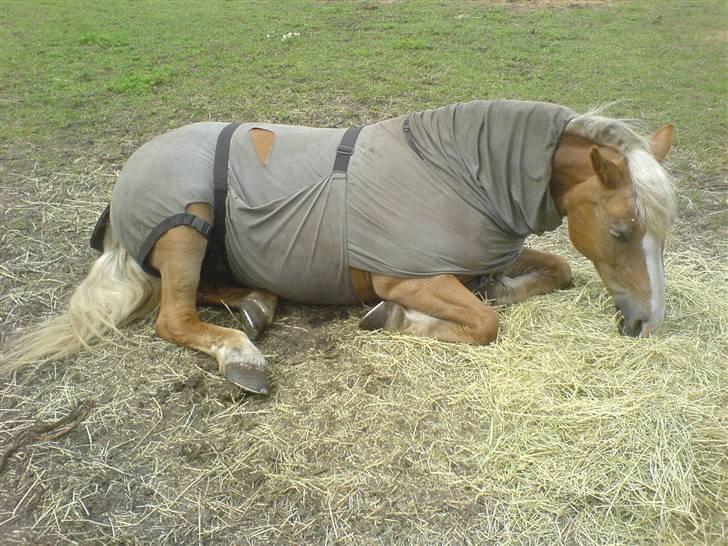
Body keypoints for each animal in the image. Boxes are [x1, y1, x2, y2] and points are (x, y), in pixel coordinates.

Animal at [2, 100, 676, 394]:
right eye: (621, 230)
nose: (647, 323)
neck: (463, 174)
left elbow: (558, 268)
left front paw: (501, 285)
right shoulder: (402, 275)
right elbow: (484, 325)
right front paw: (400, 320)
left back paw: (256, 304)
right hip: (185, 226)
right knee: (173, 315)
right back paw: (242, 356)